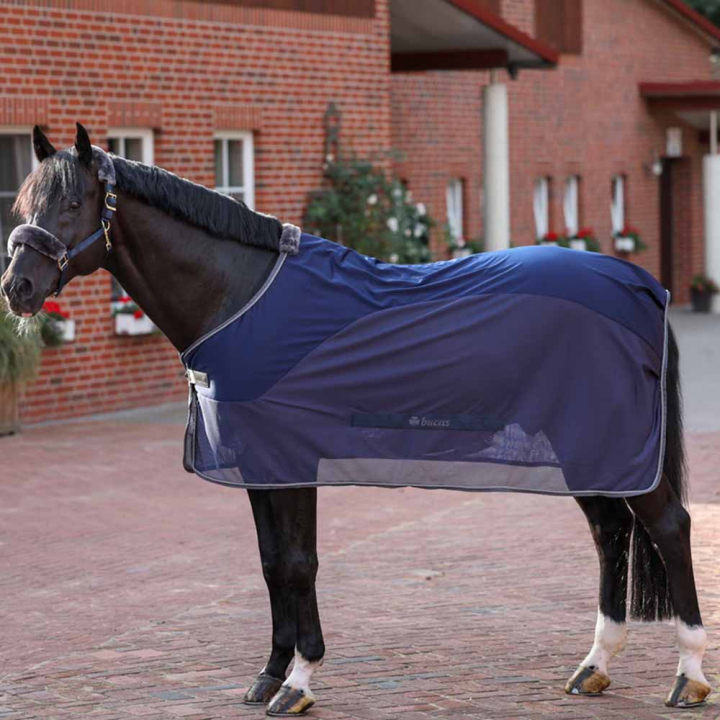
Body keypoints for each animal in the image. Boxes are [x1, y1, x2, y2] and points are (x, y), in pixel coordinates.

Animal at [0, 123, 711, 715]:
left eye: (71, 204)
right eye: (21, 205)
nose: (17, 289)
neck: (241, 295)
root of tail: (642, 286)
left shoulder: (291, 461)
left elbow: (298, 563)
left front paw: (298, 681)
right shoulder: (259, 466)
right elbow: (270, 564)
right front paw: (267, 675)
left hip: (610, 443)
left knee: (669, 527)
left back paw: (689, 676)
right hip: (584, 444)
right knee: (610, 533)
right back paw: (594, 665)